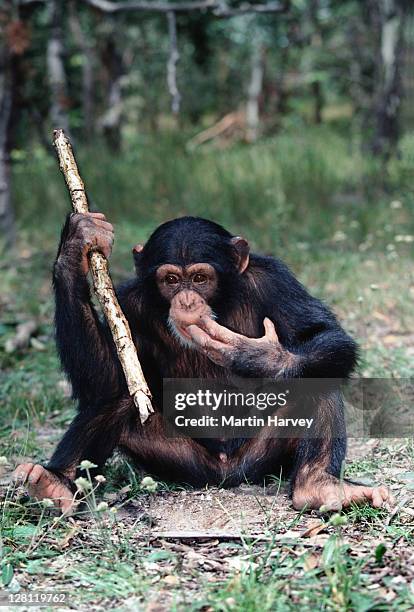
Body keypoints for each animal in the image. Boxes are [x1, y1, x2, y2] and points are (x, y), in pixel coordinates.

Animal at [13, 214, 394, 512]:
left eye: (199, 278)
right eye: (170, 280)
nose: (185, 299)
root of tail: (227, 474)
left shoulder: (275, 279)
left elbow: (326, 334)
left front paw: (258, 356)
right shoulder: (128, 301)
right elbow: (108, 379)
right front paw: (75, 246)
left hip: (260, 457)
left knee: (318, 376)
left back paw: (320, 486)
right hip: (184, 463)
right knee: (117, 398)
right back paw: (53, 484)